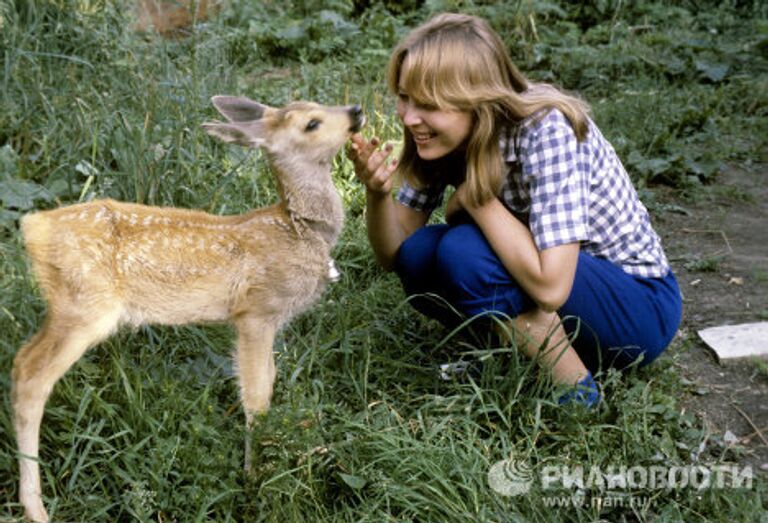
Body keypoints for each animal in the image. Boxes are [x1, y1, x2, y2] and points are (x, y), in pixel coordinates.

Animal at [9, 96, 364, 520]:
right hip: (84, 306)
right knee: (31, 375)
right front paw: (254, 477)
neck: (298, 228)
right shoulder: (256, 311)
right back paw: (35, 506)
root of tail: (33, 228)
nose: (356, 112)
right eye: (312, 123)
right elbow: (256, 397)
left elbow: (271, 382)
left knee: (20, 361)